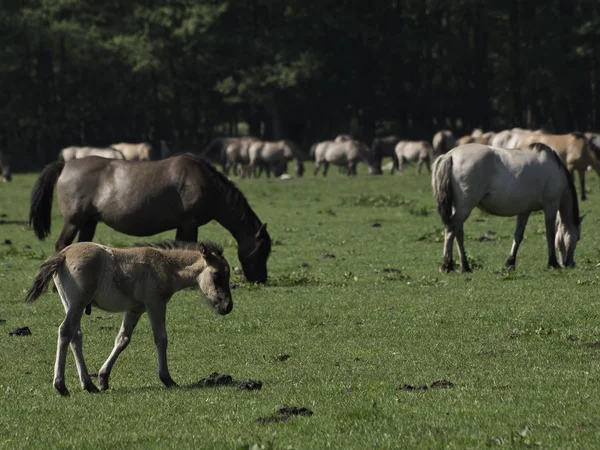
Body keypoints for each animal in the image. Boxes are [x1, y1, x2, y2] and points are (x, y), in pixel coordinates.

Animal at [25, 241, 232, 396]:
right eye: (217, 275)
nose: (228, 306)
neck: (165, 266)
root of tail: (63, 254)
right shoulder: (155, 304)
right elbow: (161, 339)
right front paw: (167, 379)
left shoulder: (135, 310)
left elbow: (122, 339)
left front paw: (103, 378)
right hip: (78, 303)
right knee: (65, 330)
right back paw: (61, 386)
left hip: (71, 304)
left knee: (76, 336)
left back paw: (89, 385)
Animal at [28, 153, 272, 284]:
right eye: (262, 251)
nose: (260, 279)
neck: (205, 183)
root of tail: (66, 165)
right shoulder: (189, 223)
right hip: (74, 221)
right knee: (62, 245)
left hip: (89, 221)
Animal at [432, 142, 580, 272]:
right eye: (577, 238)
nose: (570, 264)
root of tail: (450, 155)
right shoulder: (551, 206)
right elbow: (551, 235)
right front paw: (552, 263)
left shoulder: (525, 211)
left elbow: (518, 236)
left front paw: (510, 263)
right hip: (465, 207)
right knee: (451, 228)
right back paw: (447, 265)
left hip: (458, 208)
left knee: (458, 232)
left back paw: (465, 266)